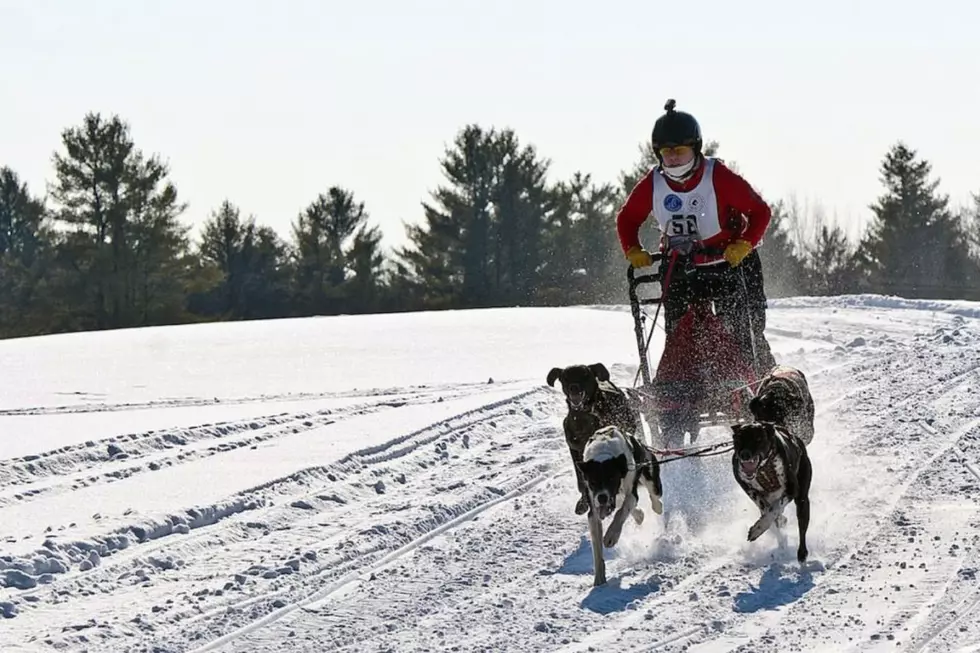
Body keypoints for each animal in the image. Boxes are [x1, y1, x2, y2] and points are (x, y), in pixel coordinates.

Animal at [548, 362, 648, 516]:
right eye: (565, 377)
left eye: (585, 374)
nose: (574, 387)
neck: (583, 418)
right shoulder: (575, 451)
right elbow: (581, 480)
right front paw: (584, 501)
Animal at [580, 422, 664, 584]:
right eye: (593, 482)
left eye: (611, 478)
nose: (602, 497)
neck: (604, 454)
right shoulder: (593, 510)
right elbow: (596, 549)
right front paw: (599, 578)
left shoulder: (631, 493)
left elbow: (621, 512)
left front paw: (611, 536)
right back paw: (639, 515)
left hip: (651, 478)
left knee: (654, 497)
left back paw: (657, 507)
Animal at [728, 420, 812, 564]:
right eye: (738, 438)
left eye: (758, 438)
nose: (745, 454)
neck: (764, 469)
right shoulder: (747, 487)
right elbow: (767, 510)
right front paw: (768, 523)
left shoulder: (792, 489)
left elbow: (774, 510)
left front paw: (758, 528)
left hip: (802, 498)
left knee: (802, 526)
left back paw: (802, 552)